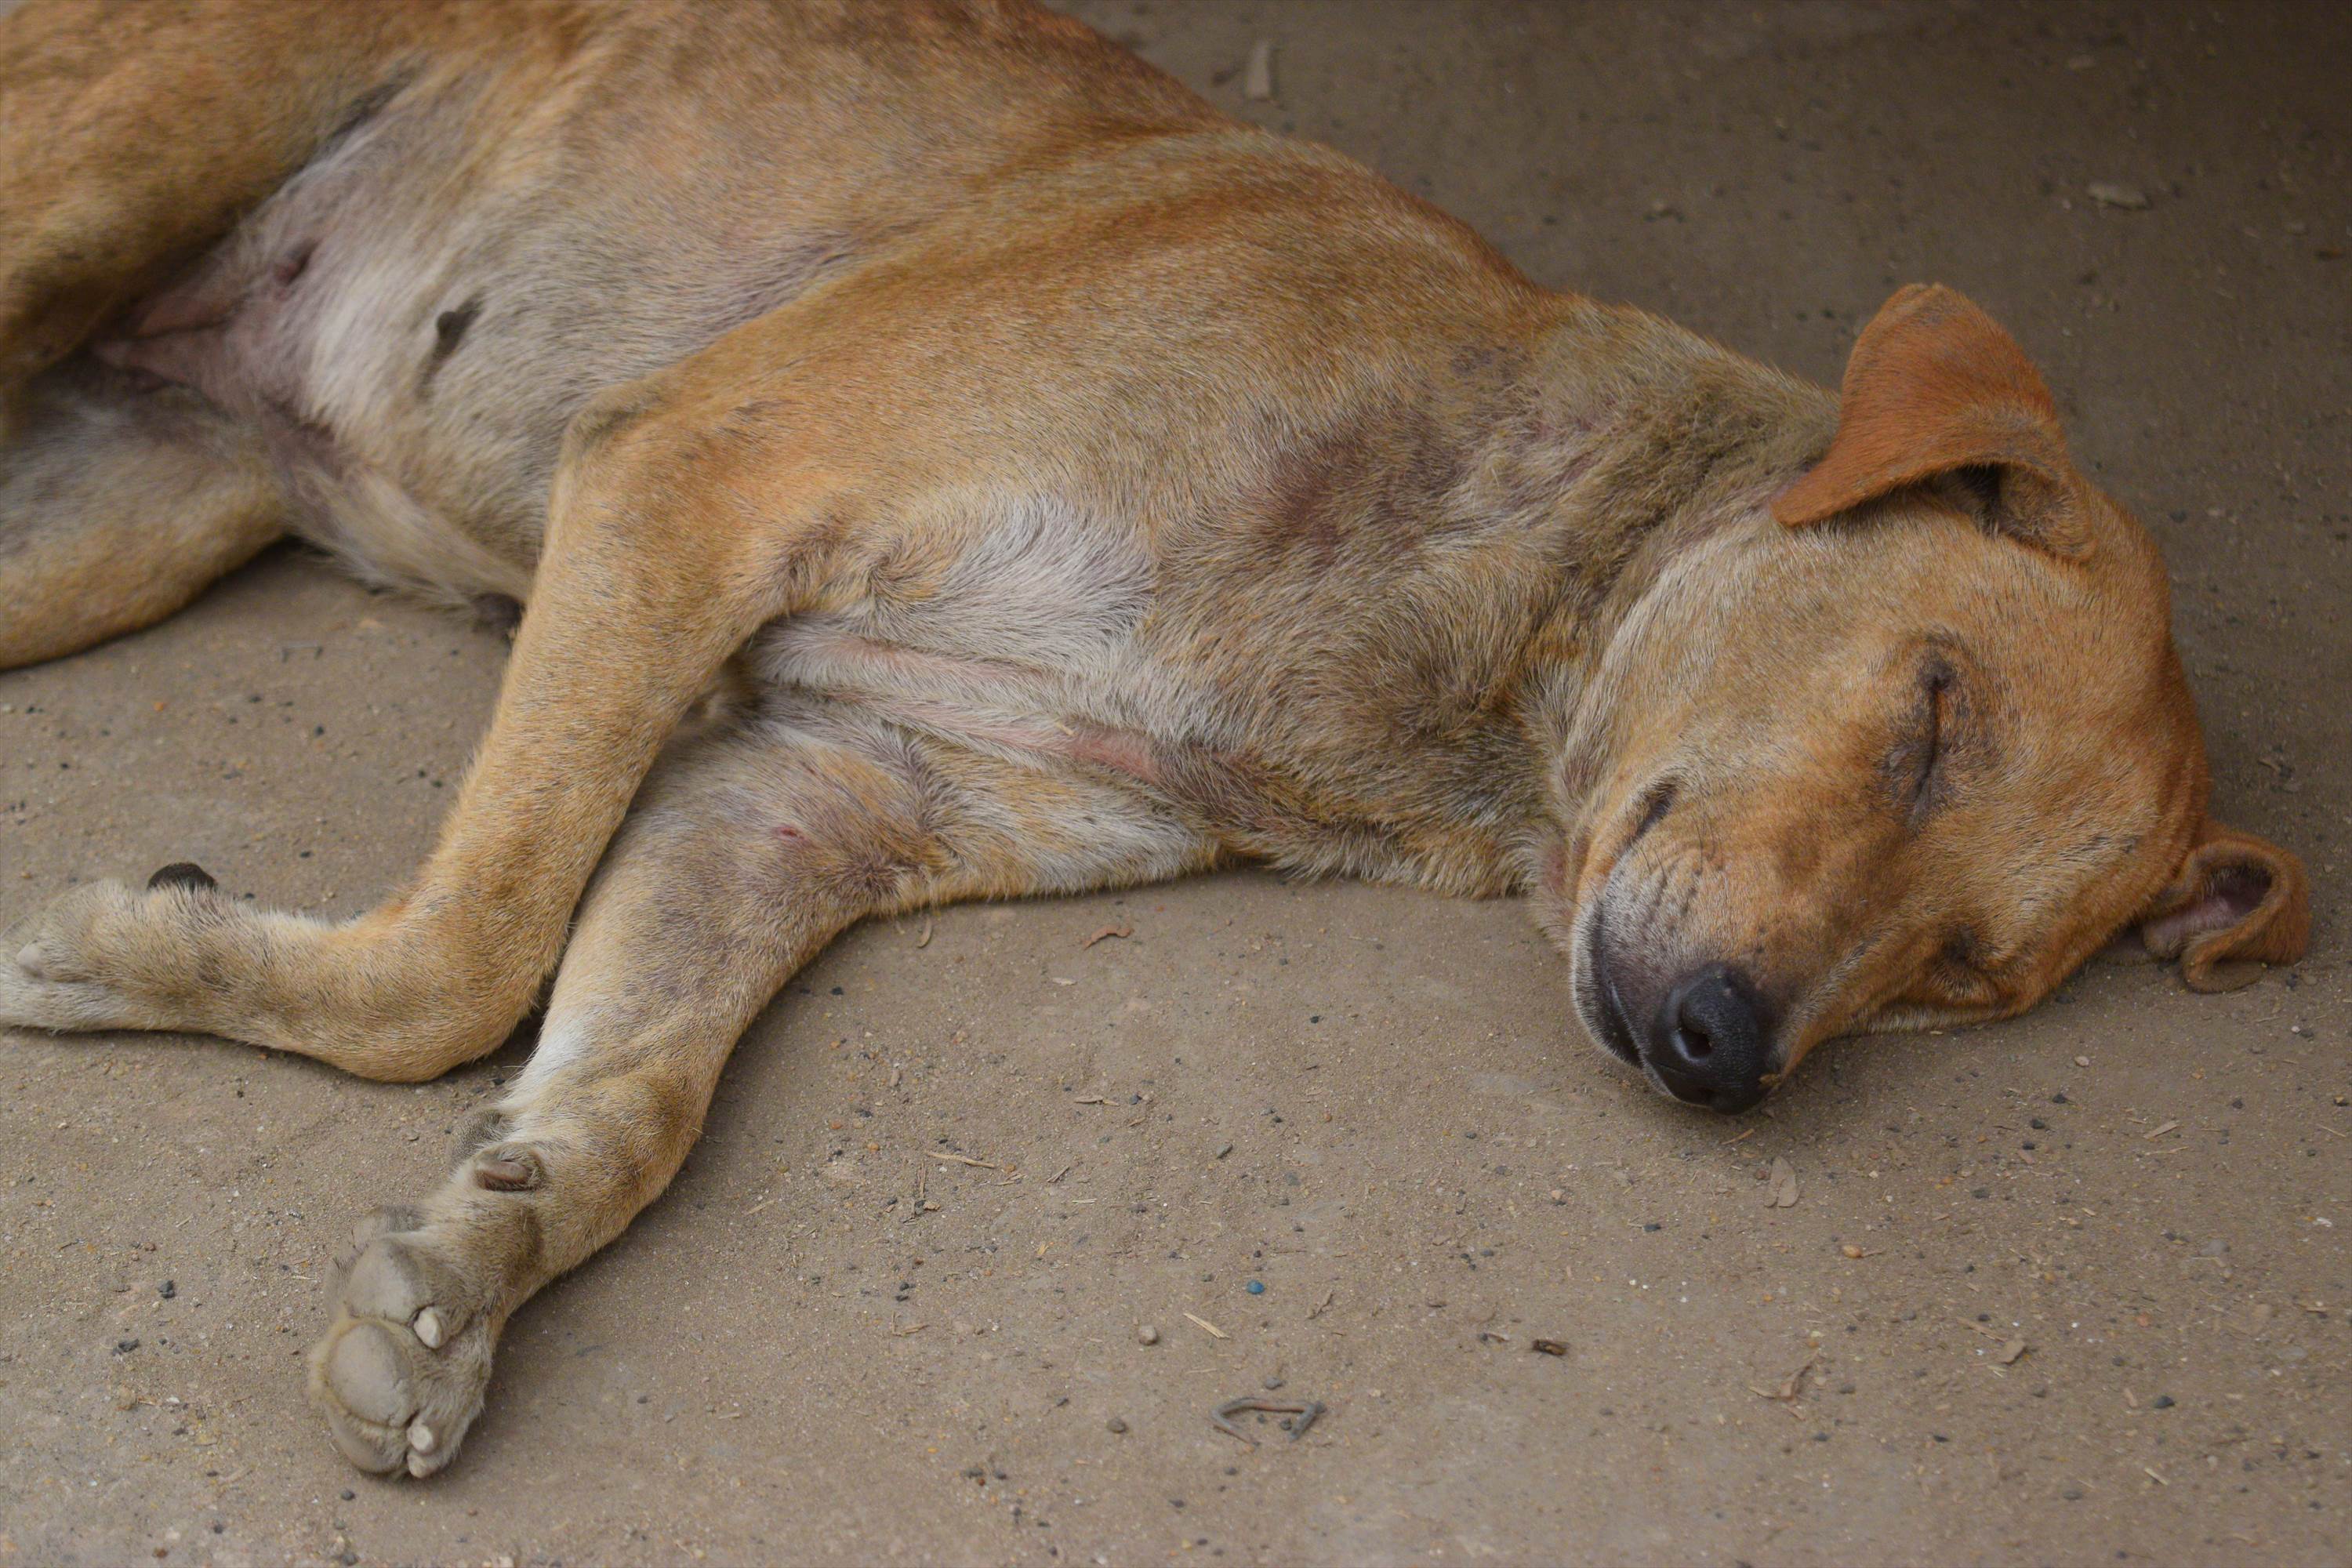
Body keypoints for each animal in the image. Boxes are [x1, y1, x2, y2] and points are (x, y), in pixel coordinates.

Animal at [0, 0, 2314, 1476]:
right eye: (1931, 712)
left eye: (1961, 979)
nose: (1720, 1054)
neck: (1489, 628)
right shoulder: (699, 474)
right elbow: (465, 952)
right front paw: (153, 956)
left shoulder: (810, 797)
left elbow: (619, 1089)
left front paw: (471, 1253)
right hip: (98, 187)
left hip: (124, 516)